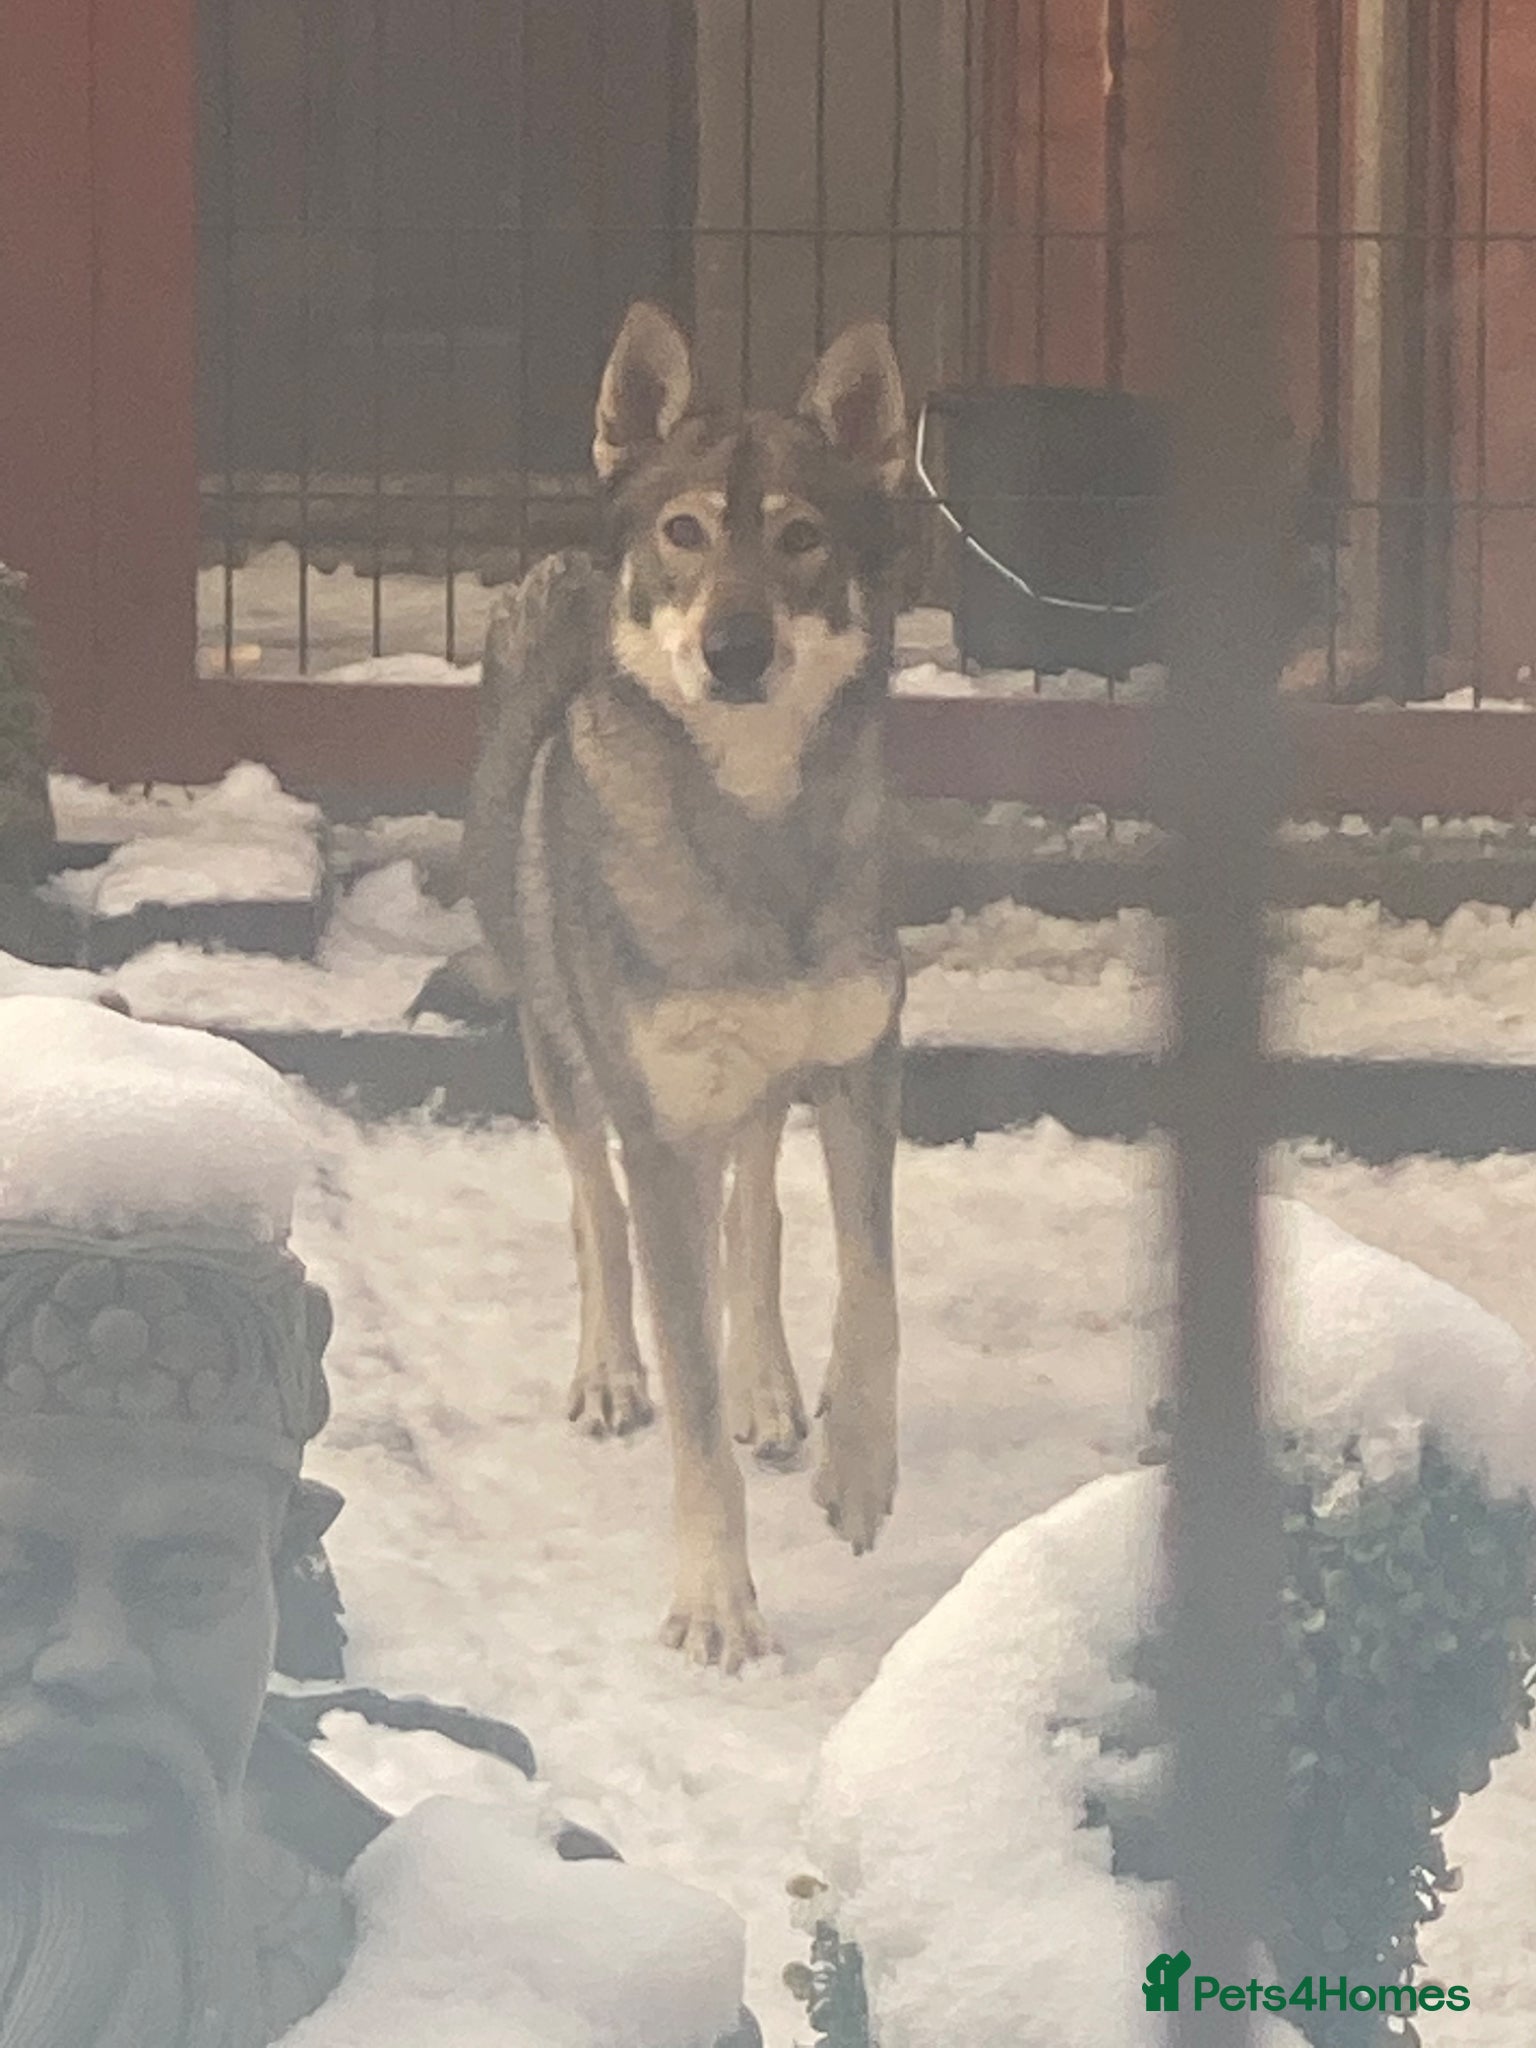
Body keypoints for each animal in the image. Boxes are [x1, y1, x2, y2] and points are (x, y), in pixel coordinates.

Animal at [445, 303, 909, 1670]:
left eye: (802, 538)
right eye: (686, 532)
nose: (735, 650)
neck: (755, 827)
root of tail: (560, 561)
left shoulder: (863, 1062)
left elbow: (869, 1281)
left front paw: (856, 1468)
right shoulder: (656, 1125)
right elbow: (691, 1405)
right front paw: (715, 1601)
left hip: (751, 1088)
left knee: (753, 1215)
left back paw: (770, 1383)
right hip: (568, 1062)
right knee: (598, 1217)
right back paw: (611, 1373)